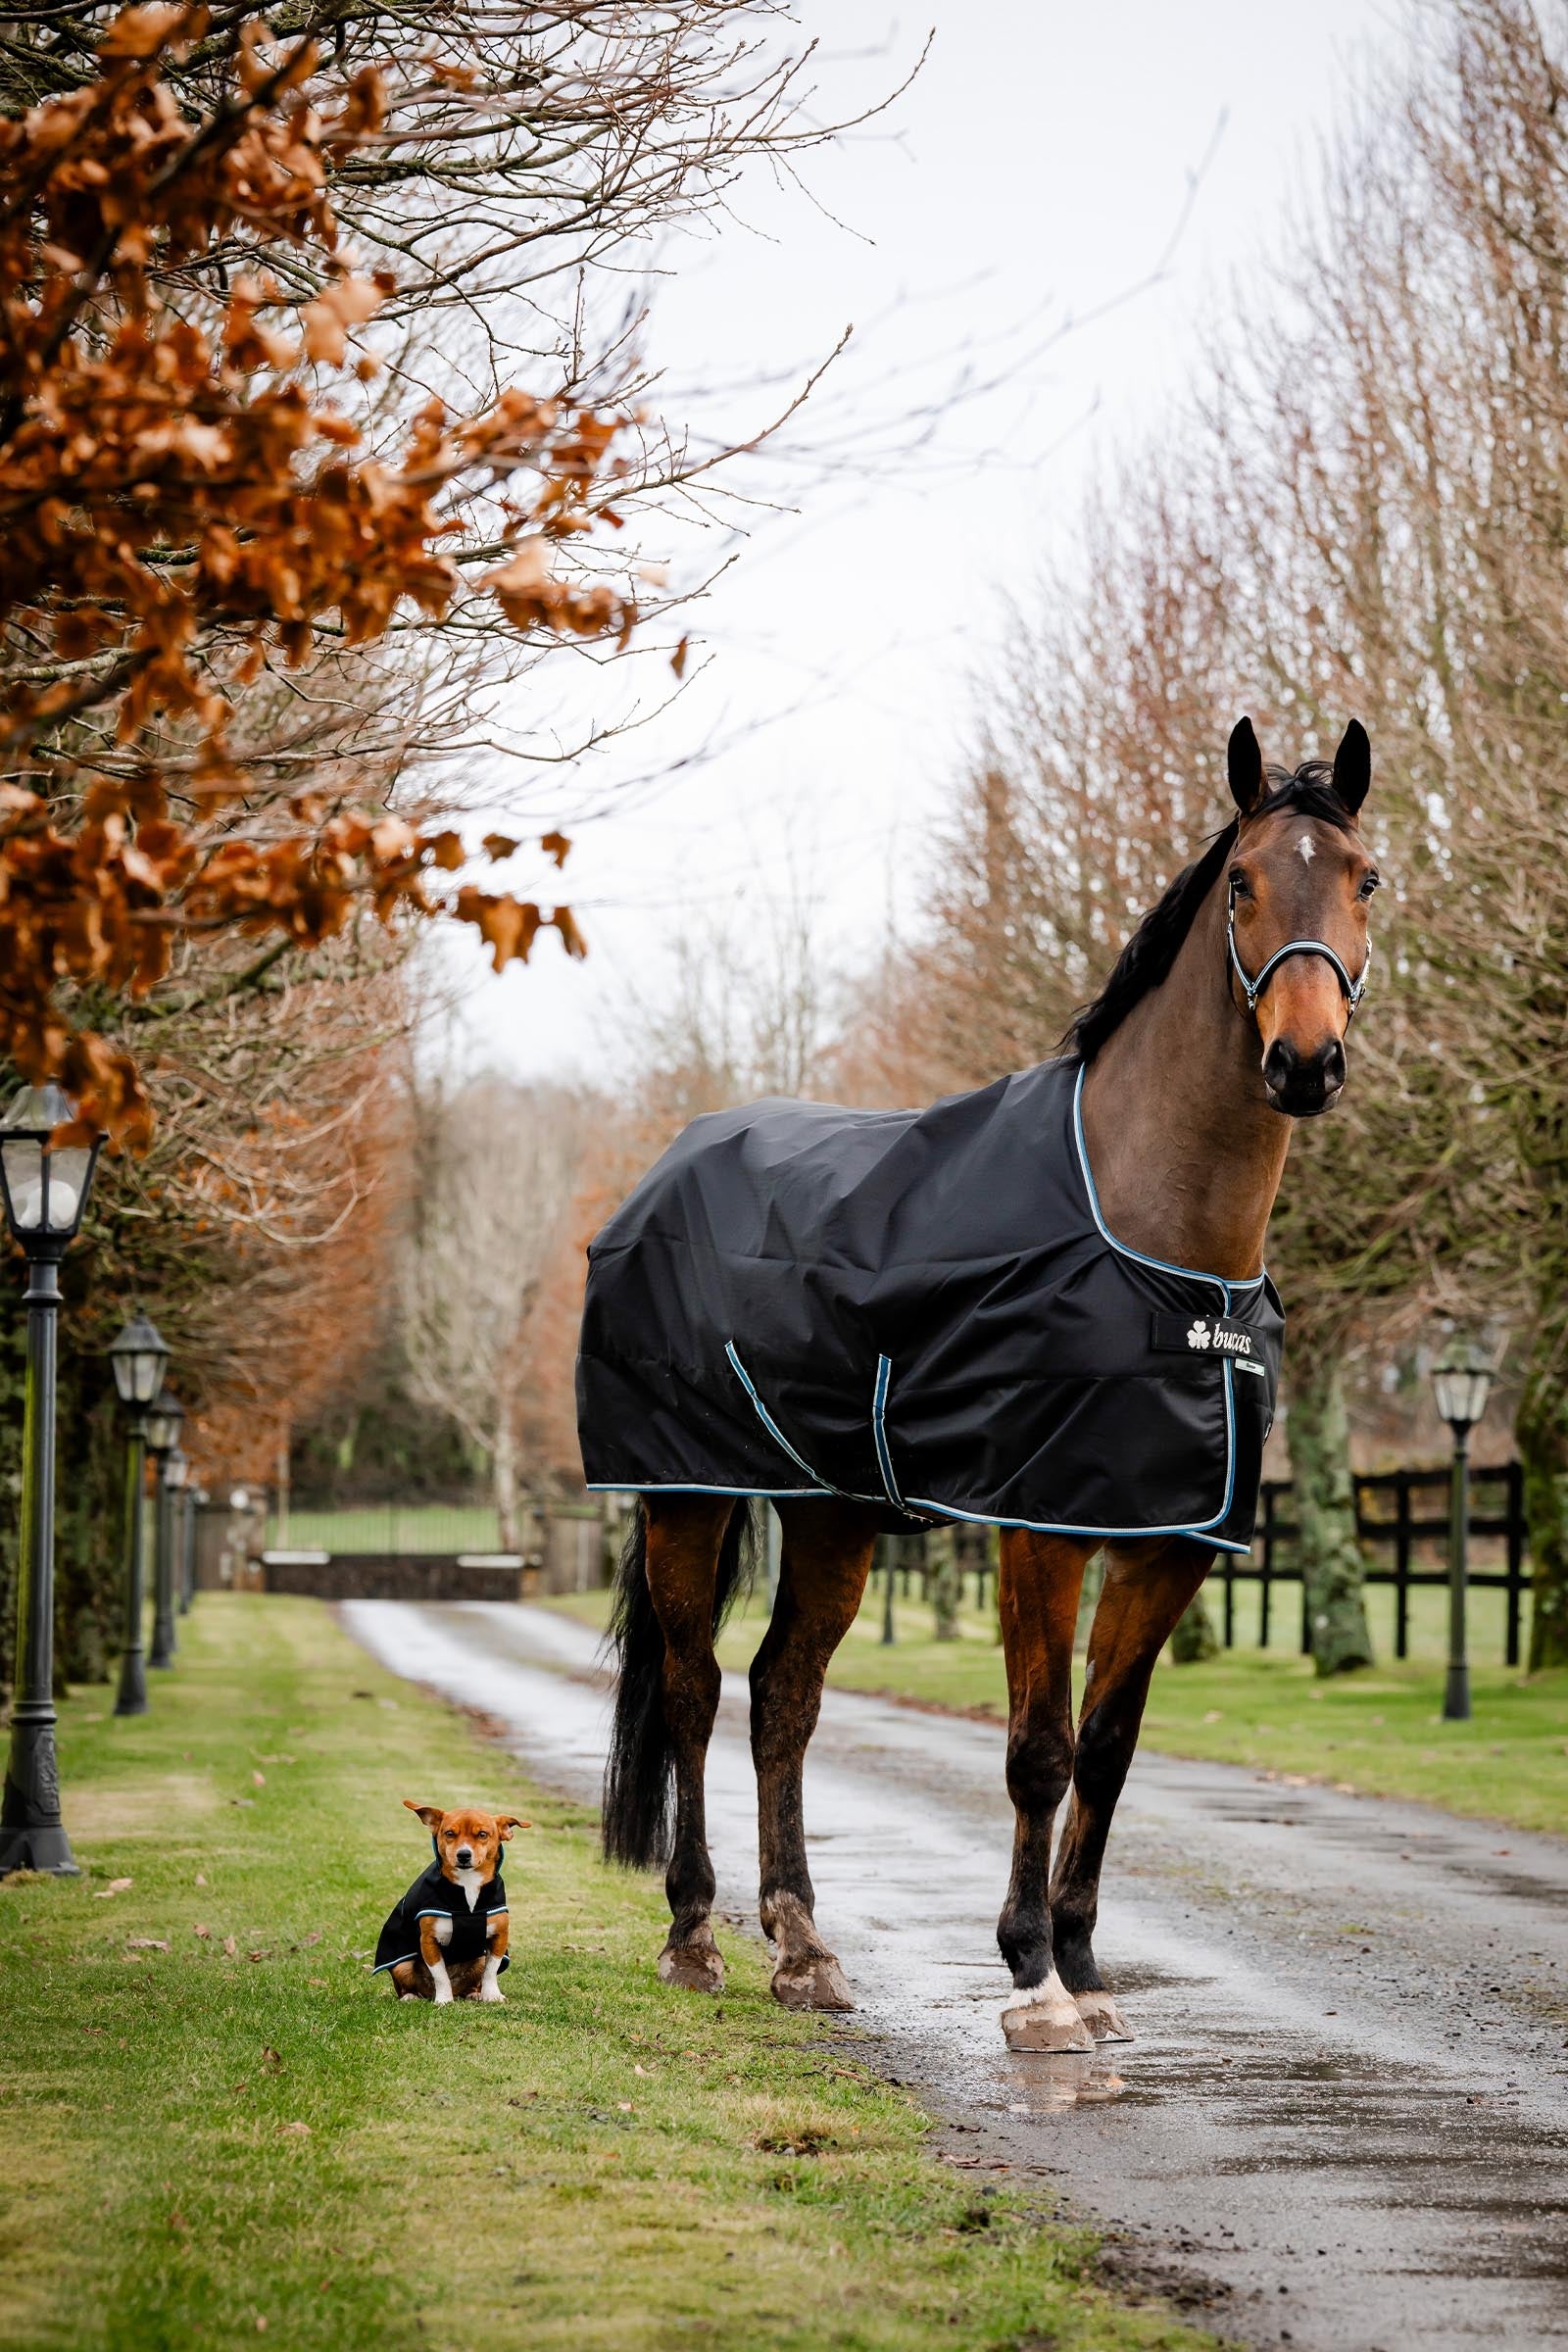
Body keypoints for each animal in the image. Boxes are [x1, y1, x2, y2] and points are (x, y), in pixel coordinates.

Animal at [577, 716, 1379, 2050]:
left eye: (1364, 881)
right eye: (1241, 882)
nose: (1303, 1061)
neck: (1163, 1252)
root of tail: (662, 1171)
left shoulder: (1167, 1540)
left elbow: (1107, 1747)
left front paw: (1088, 1970)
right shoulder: (1039, 1527)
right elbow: (1037, 1751)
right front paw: (1034, 1983)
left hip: (834, 1515)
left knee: (783, 1695)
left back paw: (803, 1947)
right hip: (685, 1494)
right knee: (693, 1689)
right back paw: (693, 1935)